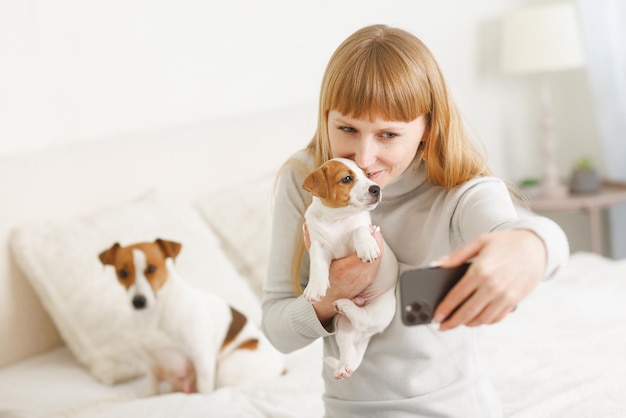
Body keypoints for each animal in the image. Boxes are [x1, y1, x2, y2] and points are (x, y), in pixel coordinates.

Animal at [98, 238, 282, 396]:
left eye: (151, 269)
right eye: (122, 273)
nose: (138, 301)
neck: (155, 314)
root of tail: (282, 368)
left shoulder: (202, 357)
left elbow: (205, 390)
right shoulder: (150, 363)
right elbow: (152, 387)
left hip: (228, 369)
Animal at [302, 157, 394, 378]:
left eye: (367, 175)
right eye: (346, 179)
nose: (376, 188)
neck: (337, 220)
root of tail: (366, 335)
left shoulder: (365, 228)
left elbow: (360, 229)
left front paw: (367, 247)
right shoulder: (318, 245)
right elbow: (317, 265)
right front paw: (315, 288)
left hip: (382, 306)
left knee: (364, 319)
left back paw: (348, 306)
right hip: (343, 327)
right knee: (348, 347)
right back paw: (344, 367)